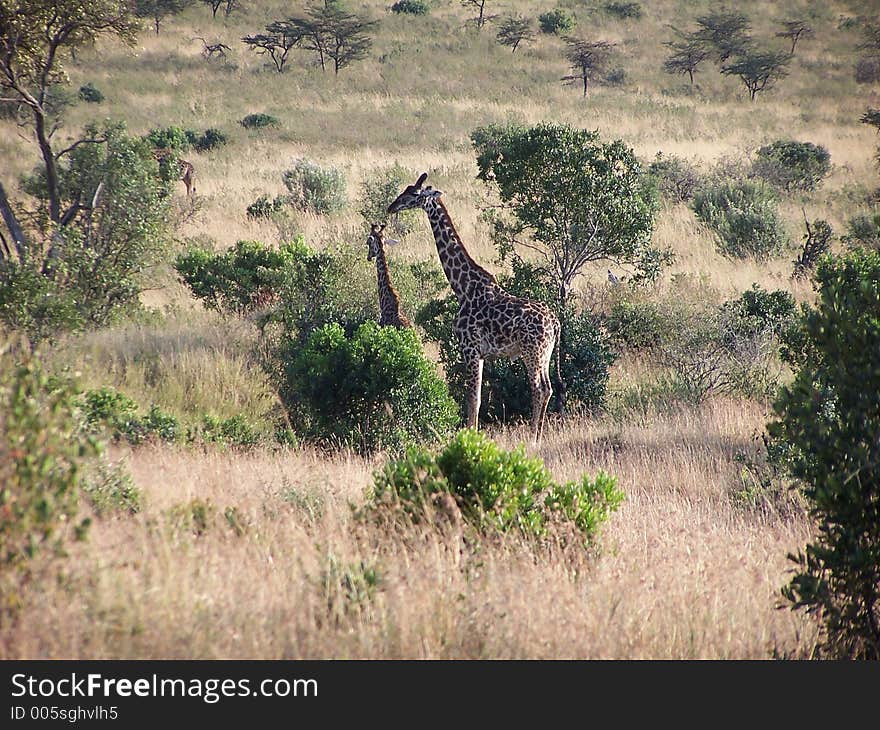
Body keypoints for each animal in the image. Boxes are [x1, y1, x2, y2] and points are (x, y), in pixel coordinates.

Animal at [388, 173, 560, 440]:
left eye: (414, 194)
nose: (392, 206)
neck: (463, 288)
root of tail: (555, 323)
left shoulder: (469, 348)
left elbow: (472, 398)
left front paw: (470, 436)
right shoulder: (480, 354)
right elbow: (476, 398)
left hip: (533, 351)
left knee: (539, 388)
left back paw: (533, 438)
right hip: (546, 352)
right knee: (549, 388)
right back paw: (539, 434)